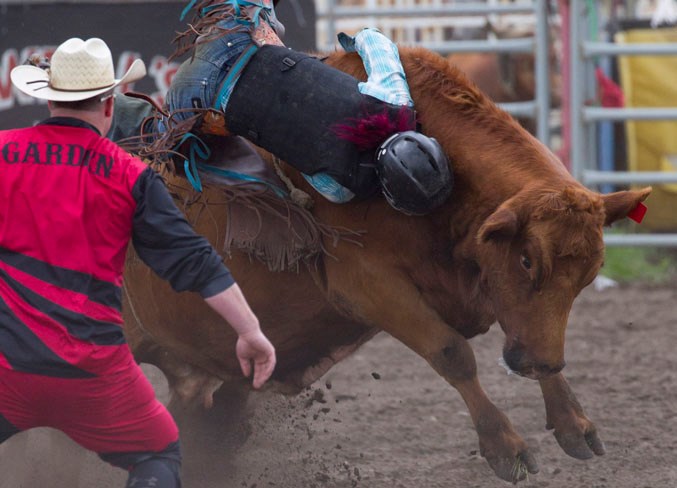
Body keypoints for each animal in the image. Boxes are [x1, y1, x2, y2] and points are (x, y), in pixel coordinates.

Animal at [123, 46, 648, 484]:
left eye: (589, 274)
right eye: (526, 260)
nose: (539, 365)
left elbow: (528, 327)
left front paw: (573, 421)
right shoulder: (367, 287)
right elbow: (453, 353)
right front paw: (505, 447)